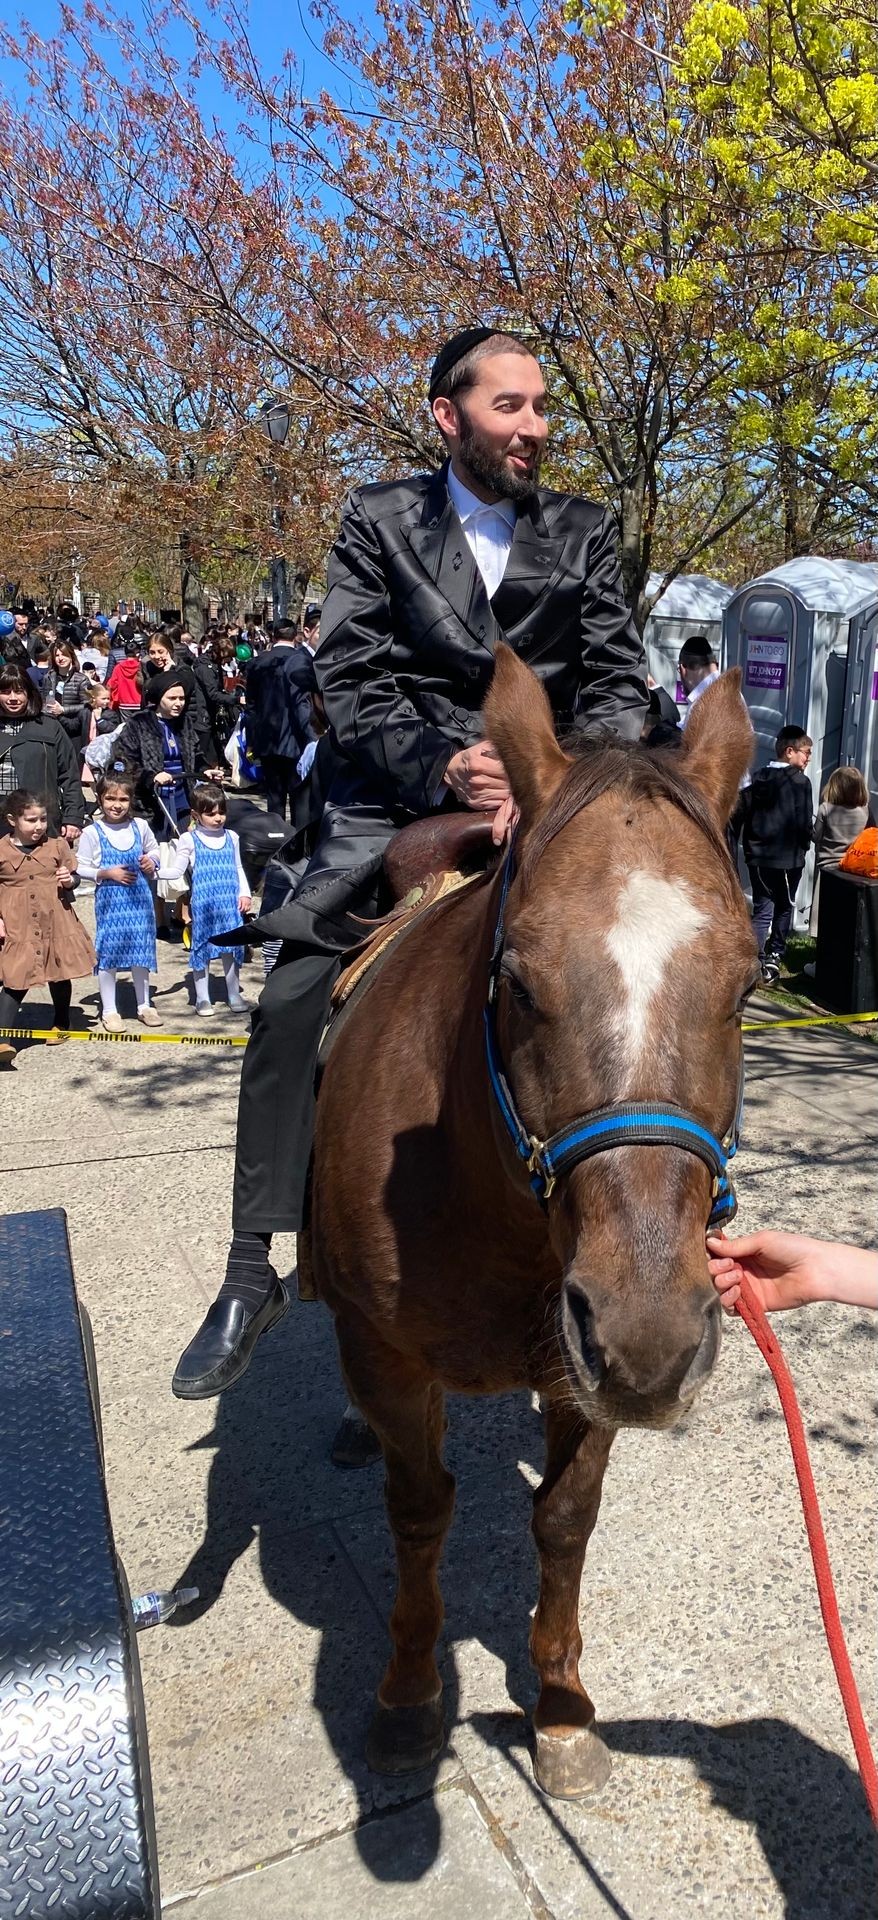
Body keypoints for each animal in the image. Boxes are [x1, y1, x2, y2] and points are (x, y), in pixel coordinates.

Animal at [311, 652, 756, 1804]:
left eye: (747, 986)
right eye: (514, 978)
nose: (652, 1338)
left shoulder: (580, 1365)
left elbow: (563, 1516)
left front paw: (558, 1708)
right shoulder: (392, 1363)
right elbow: (419, 1512)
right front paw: (407, 1698)